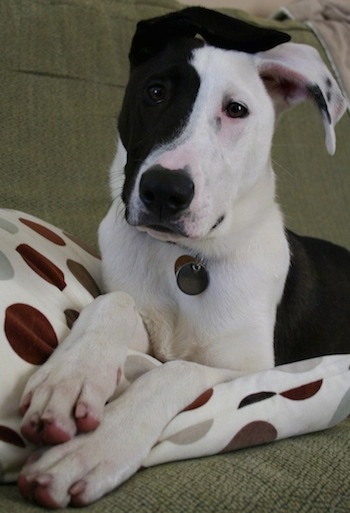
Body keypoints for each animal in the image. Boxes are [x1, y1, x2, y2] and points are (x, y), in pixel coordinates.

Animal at [15, 8, 348, 508]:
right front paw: (70, 379)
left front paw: (92, 449)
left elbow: (174, 370)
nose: (164, 191)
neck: (184, 260)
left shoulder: (251, 368)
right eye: (155, 91)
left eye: (236, 110)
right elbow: (115, 302)